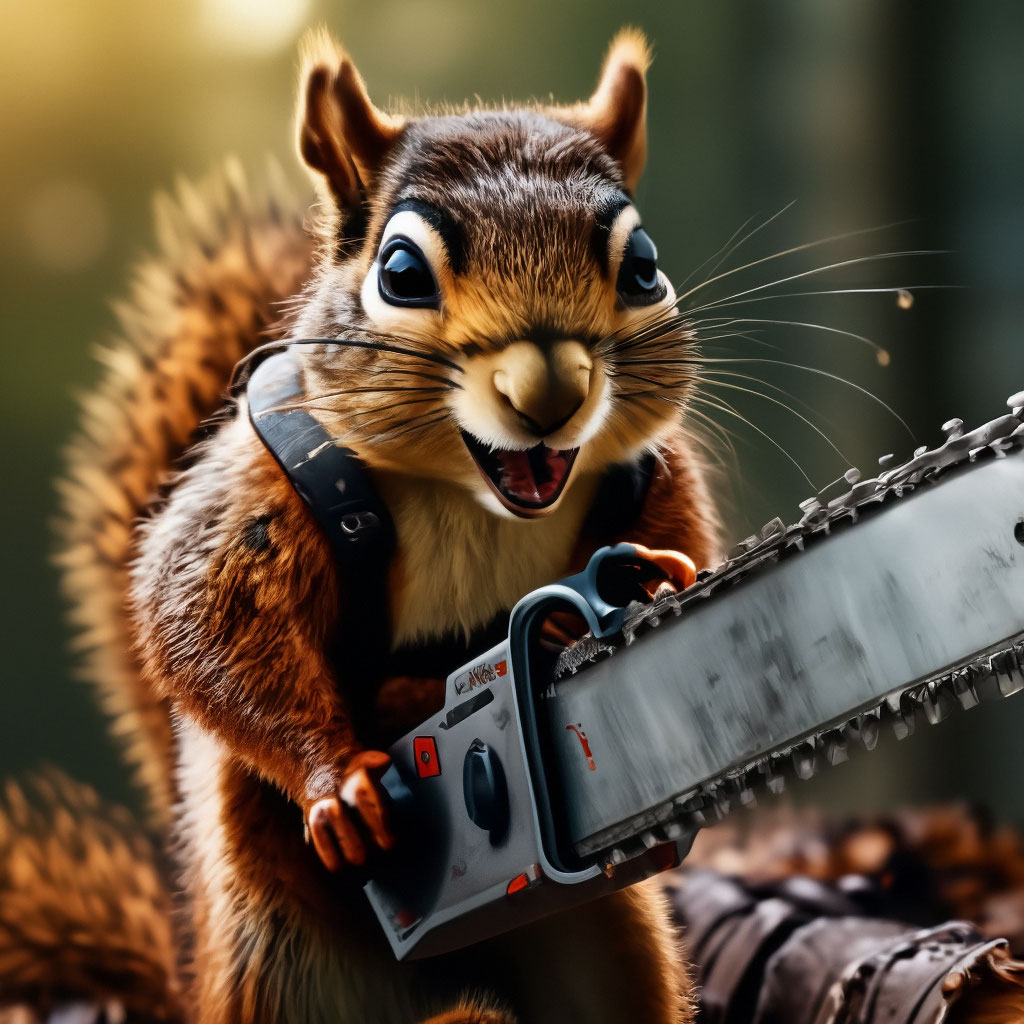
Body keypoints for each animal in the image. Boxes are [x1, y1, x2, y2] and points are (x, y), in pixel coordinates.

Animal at [39, 27, 721, 1024]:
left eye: (643, 268)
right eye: (399, 272)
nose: (551, 394)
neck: (475, 494)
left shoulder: (656, 476)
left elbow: (689, 547)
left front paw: (642, 588)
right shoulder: (271, 495)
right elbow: (200, 615)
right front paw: (343, 781)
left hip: (600, 942)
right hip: (285, 957)